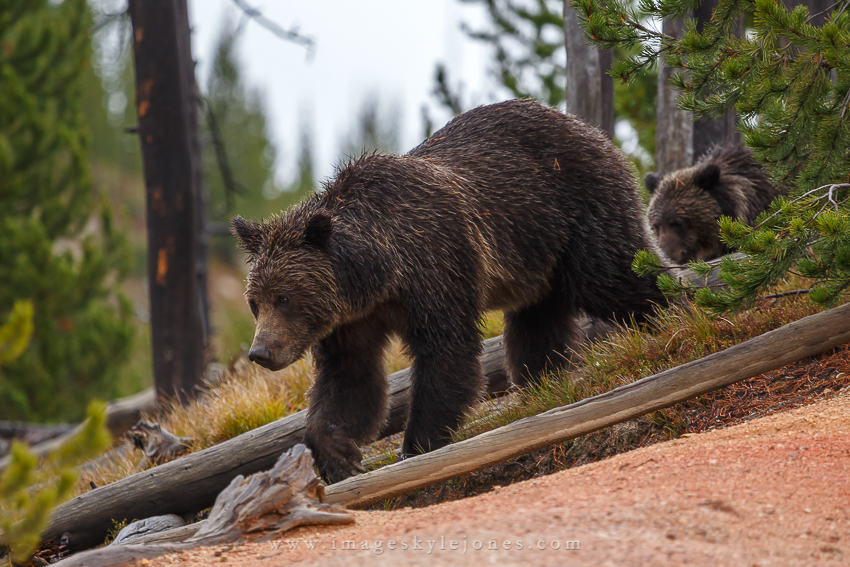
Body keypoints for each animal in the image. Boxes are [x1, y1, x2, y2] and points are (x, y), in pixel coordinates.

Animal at [232, 98, 666, 483]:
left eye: (285, 298)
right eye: (255, 303)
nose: (261, 352)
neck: (378, 273)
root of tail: (585, 126)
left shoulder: (435, 263)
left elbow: (446, 352)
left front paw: (416, 445)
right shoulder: (352, 320)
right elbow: (350, 379)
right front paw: (337, 453)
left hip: (572, 209)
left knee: (612, 274)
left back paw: (667, 314)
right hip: (535, 260)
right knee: (537, 323)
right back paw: (543, 380)